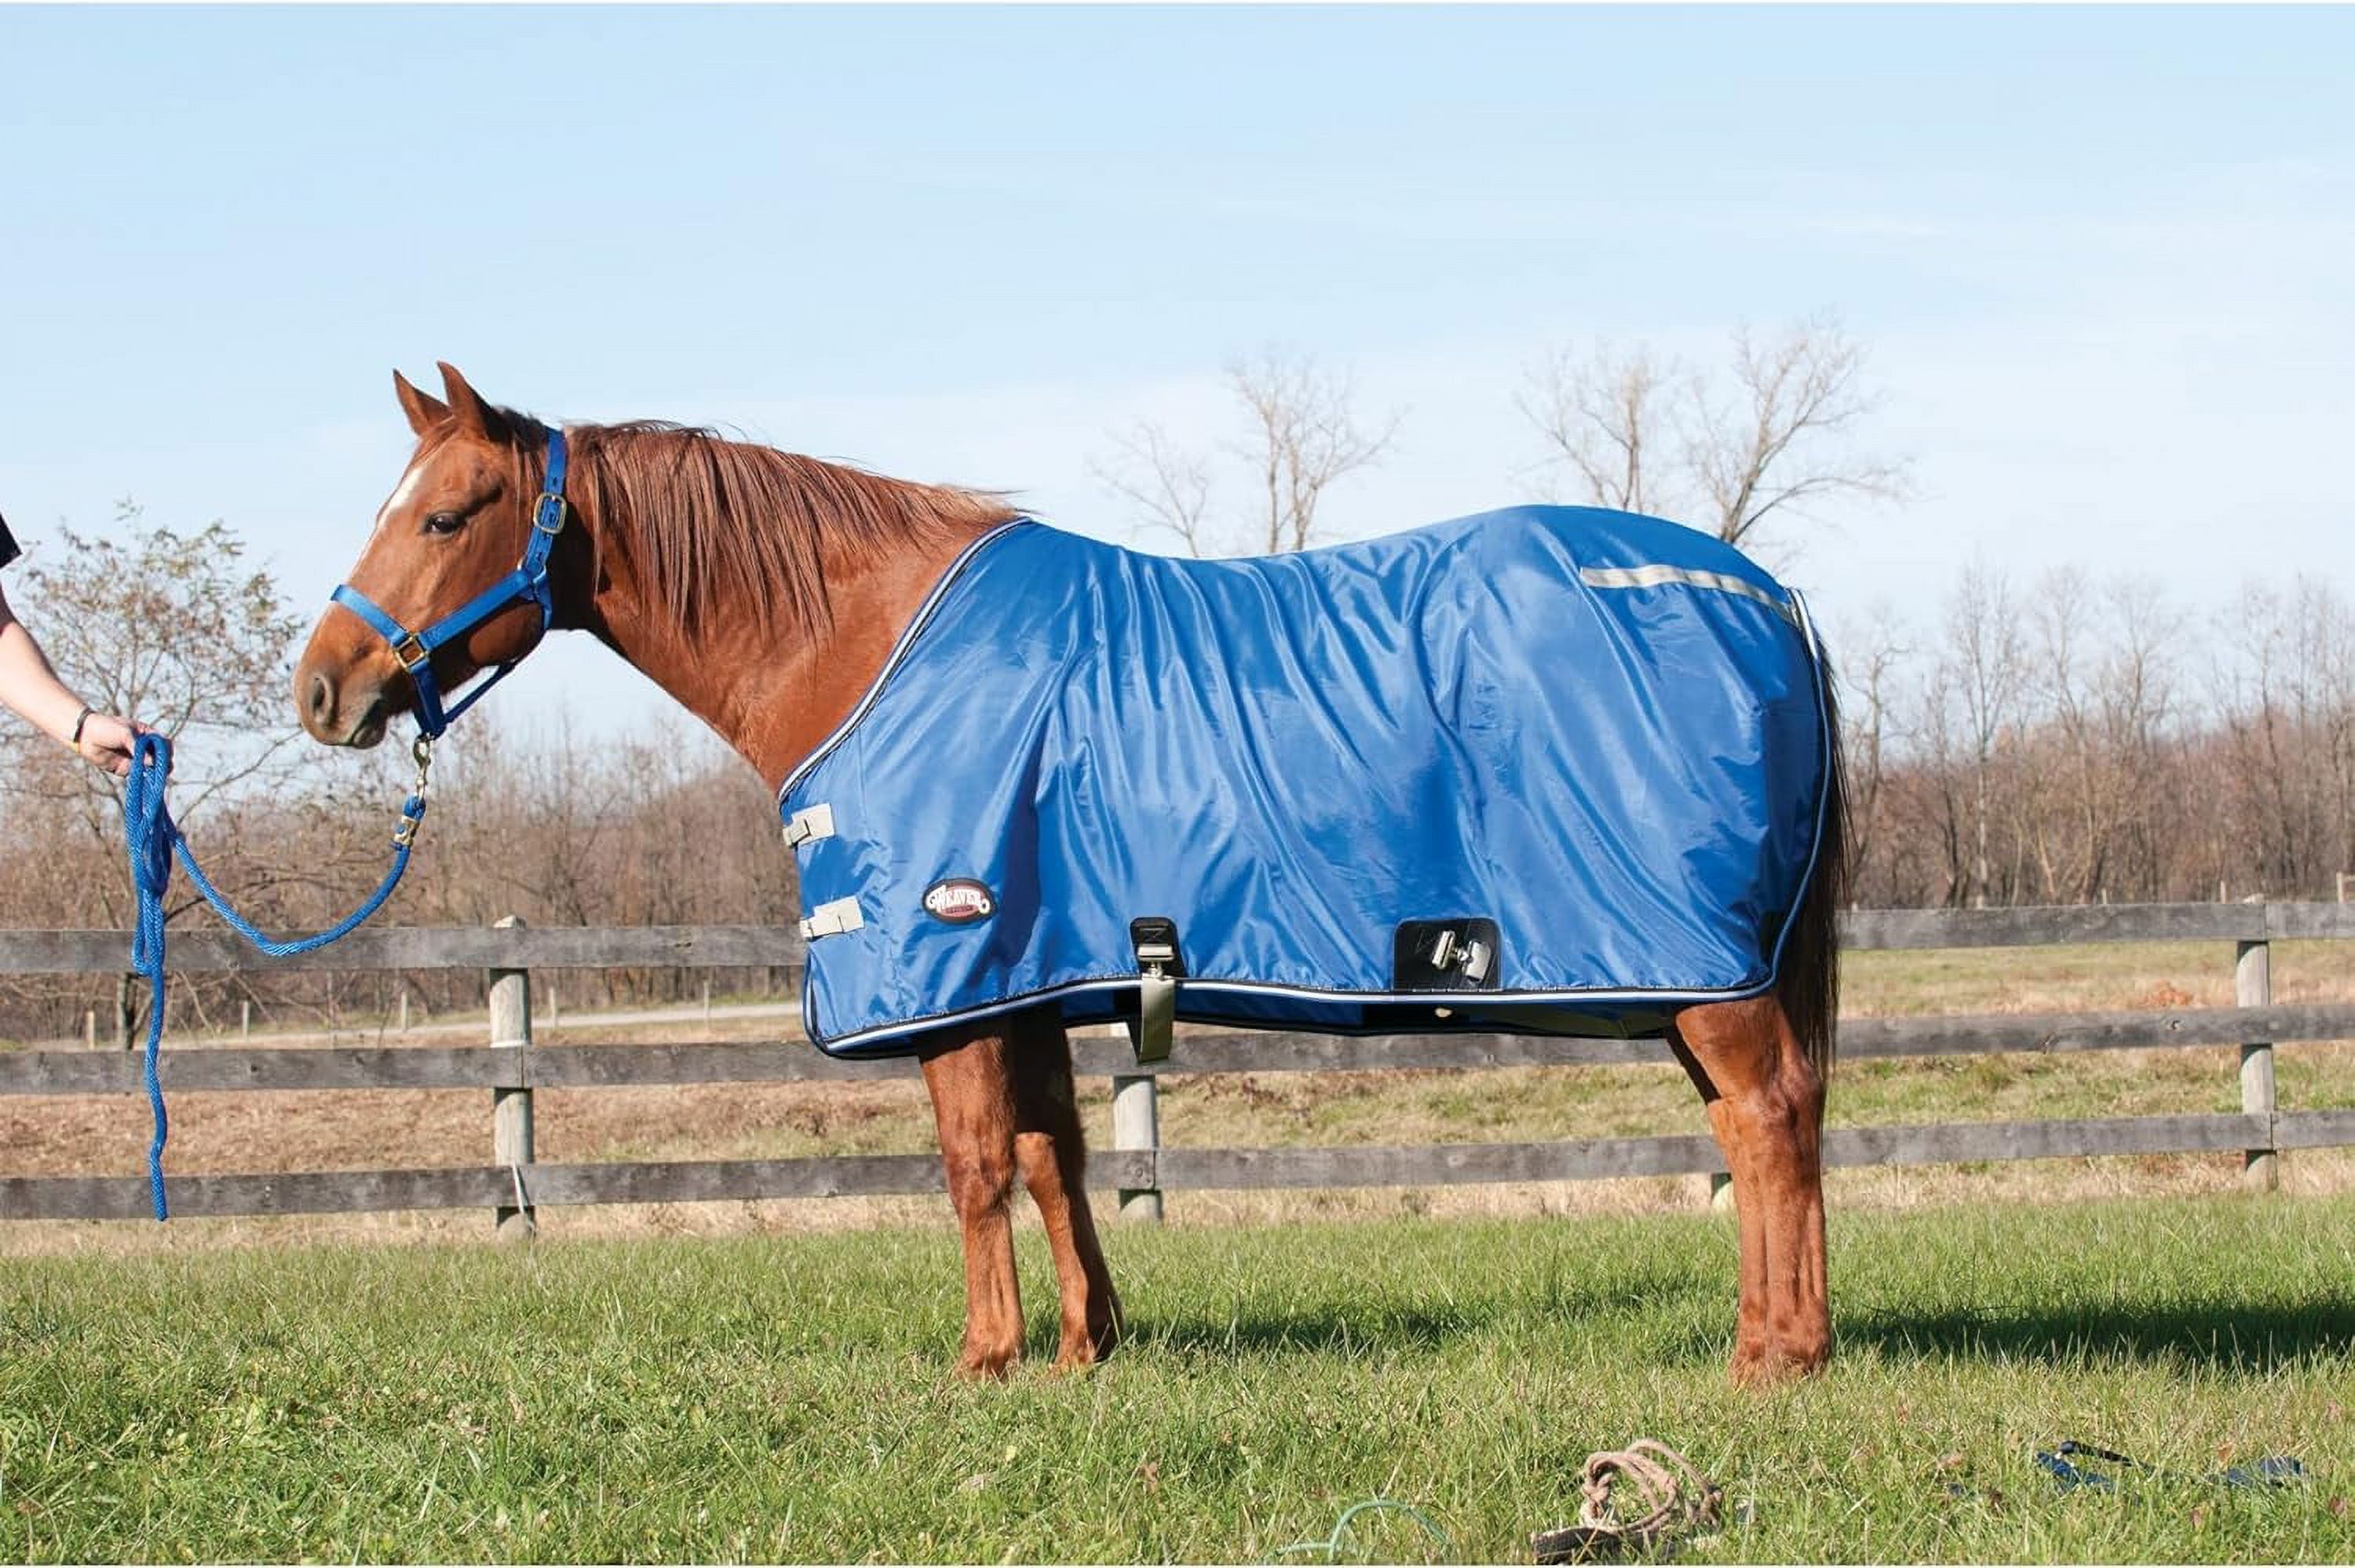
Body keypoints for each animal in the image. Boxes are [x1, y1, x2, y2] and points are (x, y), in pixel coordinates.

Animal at [295, 363, 1844, 1385]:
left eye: (449, 515)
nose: (325, 686)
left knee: (1768, 1119)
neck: (861, 642)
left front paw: (985, 1359)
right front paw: (1087, 1346)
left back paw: (1772, 1356)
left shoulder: (955, 967)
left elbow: (975, 1163)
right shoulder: (1028, 972)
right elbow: (1054, 1153)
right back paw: (1779, 1336)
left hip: (1700, 971)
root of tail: (1775, 597)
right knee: (1764, 1122)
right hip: (1708, 971)